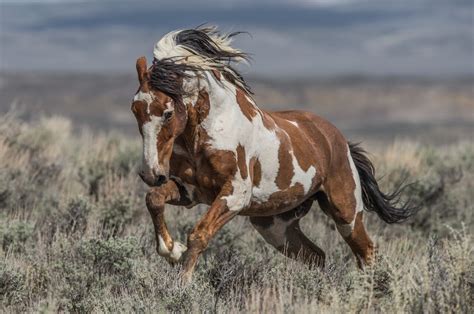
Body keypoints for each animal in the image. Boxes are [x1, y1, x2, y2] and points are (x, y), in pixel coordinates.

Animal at [131, 26, 414, 282]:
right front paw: (172, 250)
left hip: (346, 212)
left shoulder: (235, 195)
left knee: (366, 252)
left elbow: (199, 234)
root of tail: (339, 140)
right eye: (135, 110)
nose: (151, 173)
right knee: (316, 256)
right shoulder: (190, 191)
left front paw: (183, 283)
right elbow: (154, 199)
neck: (206, 133)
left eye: (168, 113)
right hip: (276, 226)